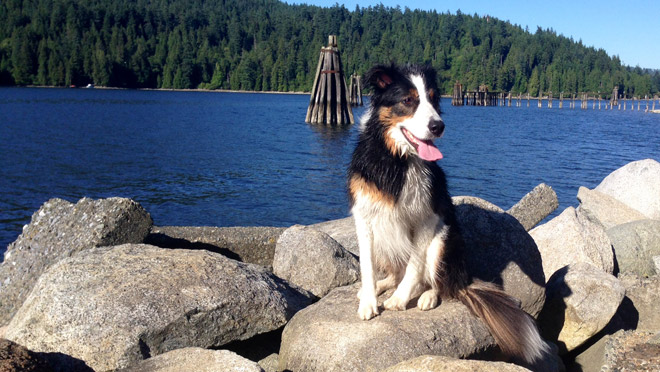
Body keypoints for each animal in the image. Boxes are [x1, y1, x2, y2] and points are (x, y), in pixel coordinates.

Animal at [348, 63, 548, 364]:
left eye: (433, 99)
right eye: (408, 100)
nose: (438, 126)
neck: (397, 161)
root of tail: (462, 278)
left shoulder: (428, 216)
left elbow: (414, 266)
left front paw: (399, 300)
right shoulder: (365, 216)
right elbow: (367, 267)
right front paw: (369, 301)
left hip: (443, 240)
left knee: (436, 281)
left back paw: (427, 296)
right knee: (395, 272)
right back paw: (383, 285)